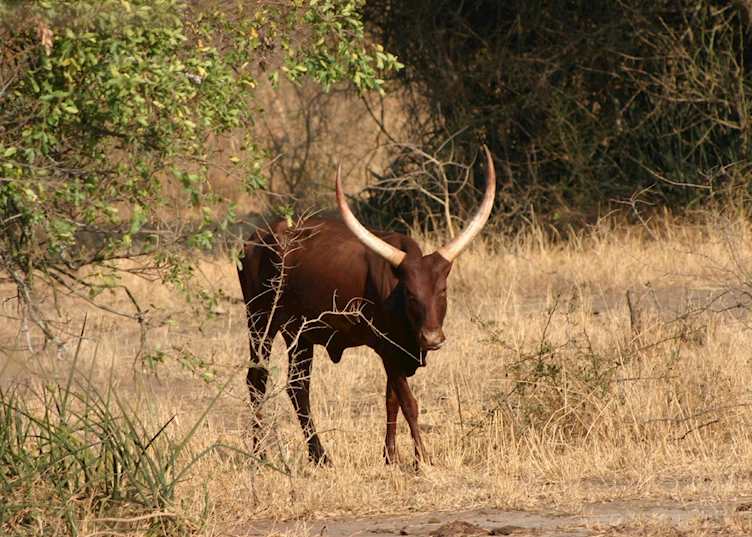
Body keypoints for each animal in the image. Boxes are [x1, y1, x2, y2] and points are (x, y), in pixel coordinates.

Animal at [238, 146, 496, 465]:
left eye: (443, 291)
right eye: (410, 294)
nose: (432, 338)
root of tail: (255, 240)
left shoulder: (397, 353)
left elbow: (391, 401)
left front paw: (390, 457)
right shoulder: (388, 349)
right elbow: (409, 403)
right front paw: (422, 459)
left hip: (299, 334)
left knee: (298, 386)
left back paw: (318, 455)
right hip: (259, 320)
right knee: (257, 380)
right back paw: (260, 453)